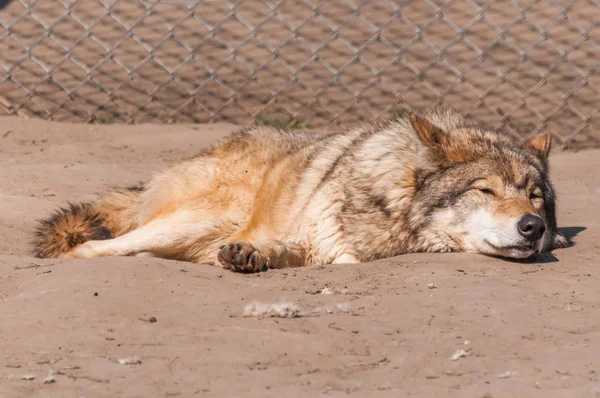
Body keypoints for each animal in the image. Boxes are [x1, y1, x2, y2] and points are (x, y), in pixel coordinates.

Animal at [31, 107, 568, 272]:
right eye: (486, 191)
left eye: (535, 196)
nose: (532, 226)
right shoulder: (318, 237)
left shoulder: (322, 248)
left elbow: (285, 253)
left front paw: (251, 256)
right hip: (203, 217)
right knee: (91, 249)